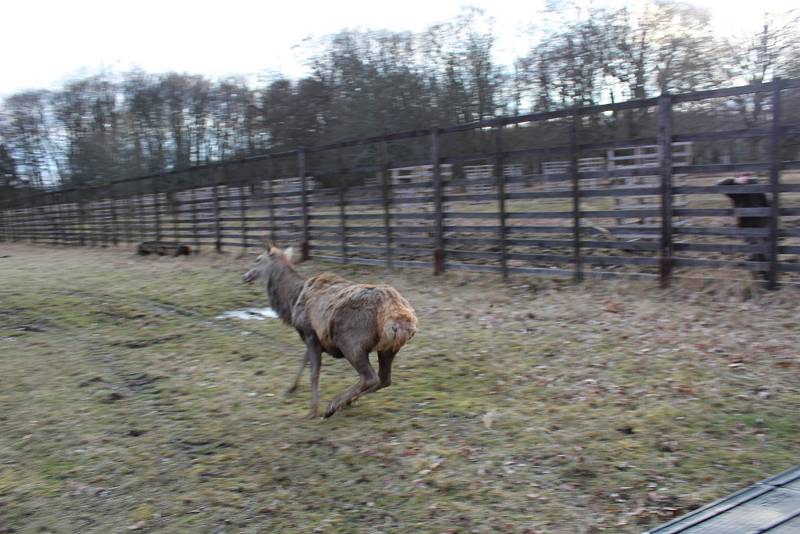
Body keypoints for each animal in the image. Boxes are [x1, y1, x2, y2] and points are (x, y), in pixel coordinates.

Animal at [242, 245, 418, 420]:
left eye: (258, 259)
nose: (245, 276)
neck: (292, 301)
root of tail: (401, 319)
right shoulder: (313, 336)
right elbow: (303, 361)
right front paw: (290, 388)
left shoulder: (309, 332)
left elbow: (314, 373)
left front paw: (312, 411)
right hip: (388, 347)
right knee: (385, 379)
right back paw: (347, 402)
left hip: (351, 342)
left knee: (370, 378)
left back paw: (332, 406)